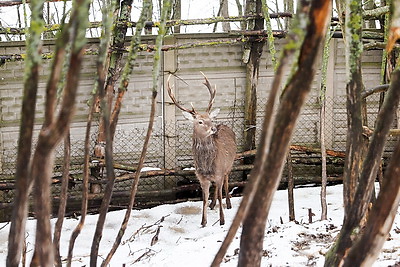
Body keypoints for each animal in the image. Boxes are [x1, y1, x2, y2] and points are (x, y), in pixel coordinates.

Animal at [166, 72, 236, 227]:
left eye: (211, 118)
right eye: (200, 121)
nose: (213, 128)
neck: (207, 165)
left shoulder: (219, 172)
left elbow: (221, 192)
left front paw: (222, 221)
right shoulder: (202, 178)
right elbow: (203, 199)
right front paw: (203, 222)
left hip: (229, 165)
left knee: (226, 182)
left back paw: (229, 204)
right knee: (215, 189)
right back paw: (212, 204)